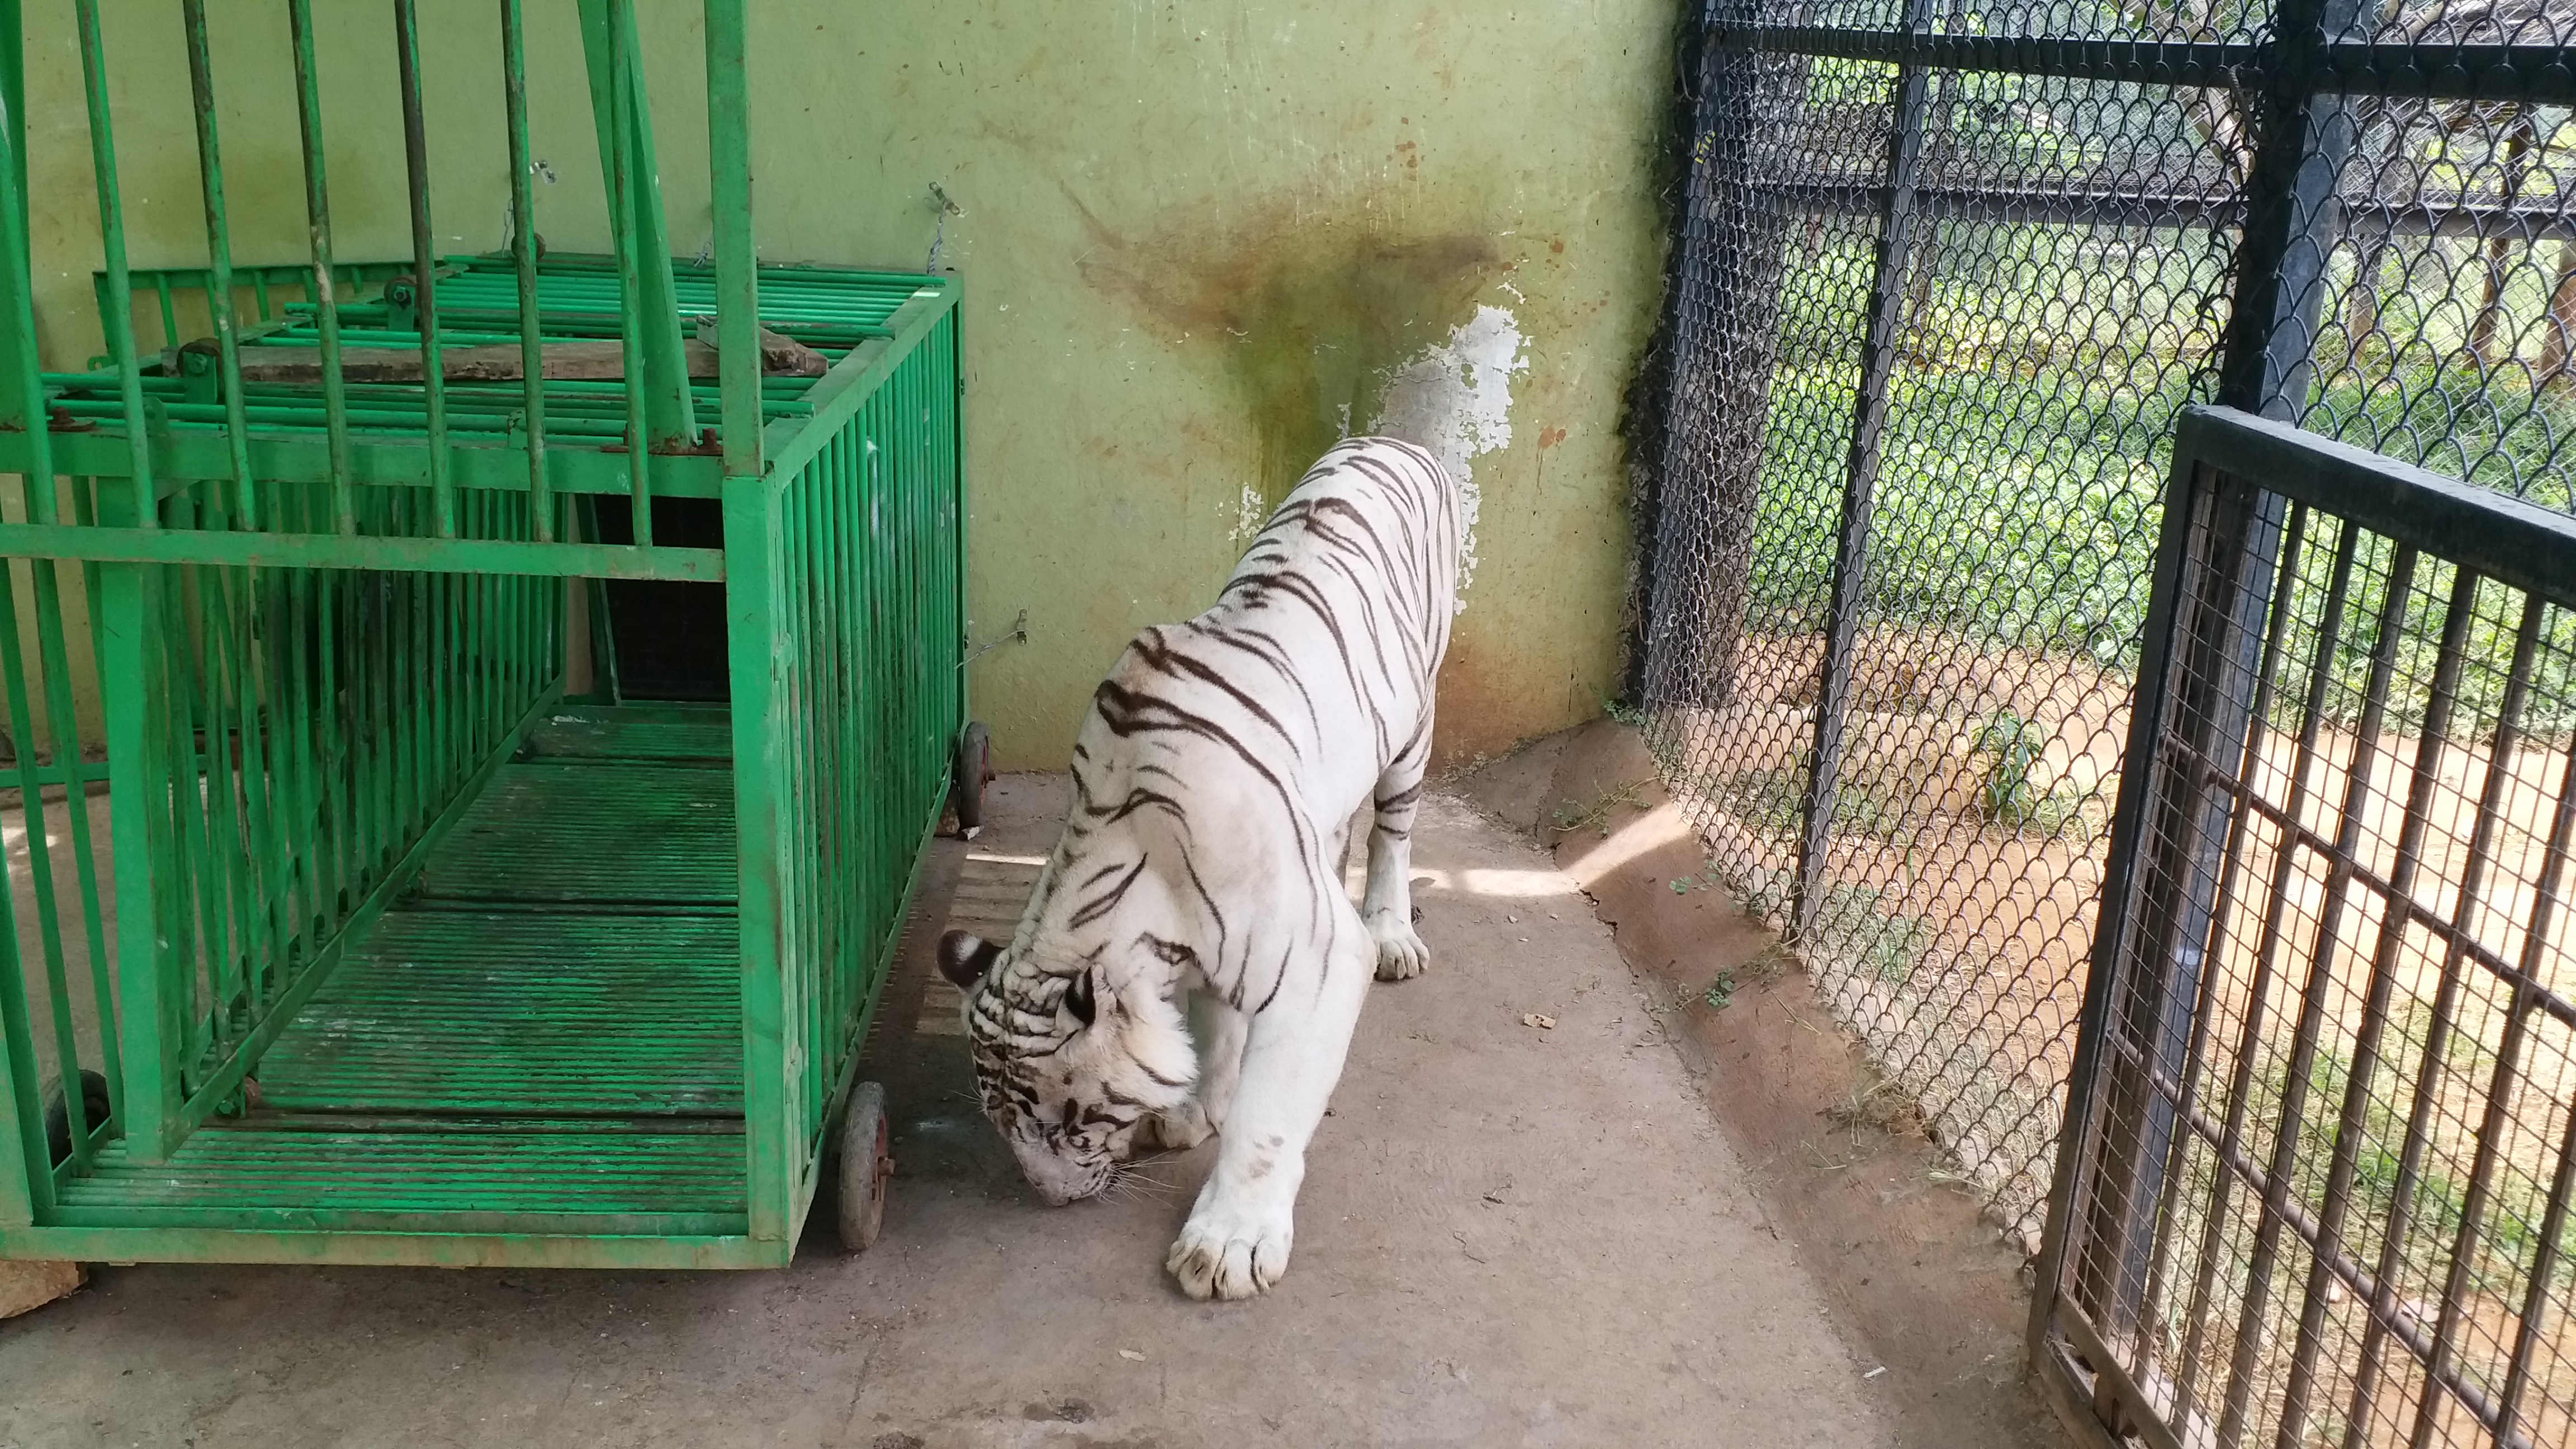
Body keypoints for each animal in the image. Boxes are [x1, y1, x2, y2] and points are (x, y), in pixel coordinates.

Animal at [937, 430, 1463, 1299]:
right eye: (1001, 1121)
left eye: (1069, 1122)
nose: (1052, 1200)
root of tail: (1389, 438)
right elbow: (1215, 1031)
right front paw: (1192, 1110)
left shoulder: (1317, 962)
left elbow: (1268, 1118)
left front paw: (1227, 1244)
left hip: (1415, 719)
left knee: (1394, 831)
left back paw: (1394, 932)